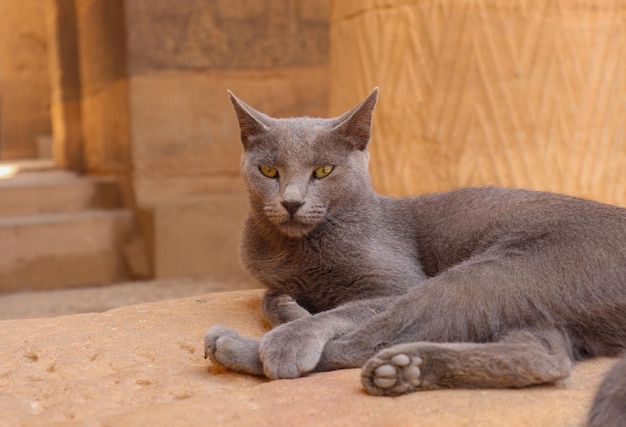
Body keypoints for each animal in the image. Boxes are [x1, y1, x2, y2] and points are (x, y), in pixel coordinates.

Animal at [205, 88, 624, 426]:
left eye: (323, 171)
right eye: (268, 170)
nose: (291, 203)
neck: (294, 249)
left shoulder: (396, 285)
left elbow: (336, 314)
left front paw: (292, 330)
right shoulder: (277, 279)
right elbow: (270, 295)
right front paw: (292, 308)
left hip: (491, 272)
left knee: (367, 342)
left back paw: (236, 346)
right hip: (528, 298)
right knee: (544, 356)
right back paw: (407, 369)